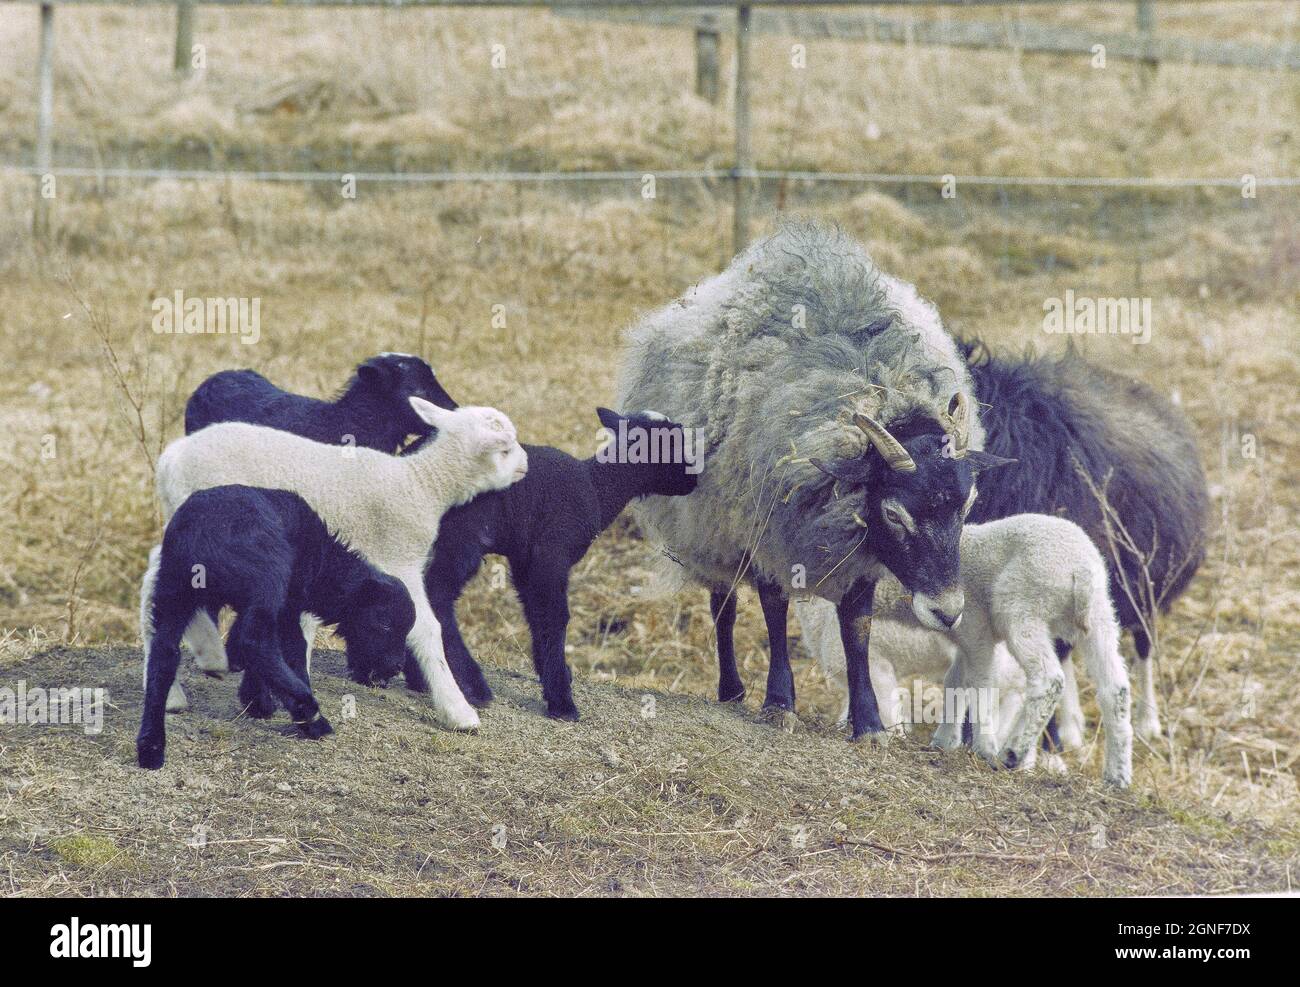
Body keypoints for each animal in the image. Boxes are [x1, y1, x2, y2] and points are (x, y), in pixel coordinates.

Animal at [146, 397, 522, 728]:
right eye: (505, 449)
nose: (525, 464)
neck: (422, 483)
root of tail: (170, 459)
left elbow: (307, 623)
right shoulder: (399, 556)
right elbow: (427, 627)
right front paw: (459, 711)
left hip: (181, 522)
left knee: (154, 579)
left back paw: (175, 688)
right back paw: (202, 656)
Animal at [790, 517, 1128, 785]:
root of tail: (1081, 571)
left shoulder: (976, 629)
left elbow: (979, 684)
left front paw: (982, 748)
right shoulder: (964, 641)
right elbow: (957, 683)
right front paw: (944, 741)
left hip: (1021, 608)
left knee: (1048, 681)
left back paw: (1012, 753)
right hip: (1100, 616)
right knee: (1116, 687)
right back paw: (1118, 776)